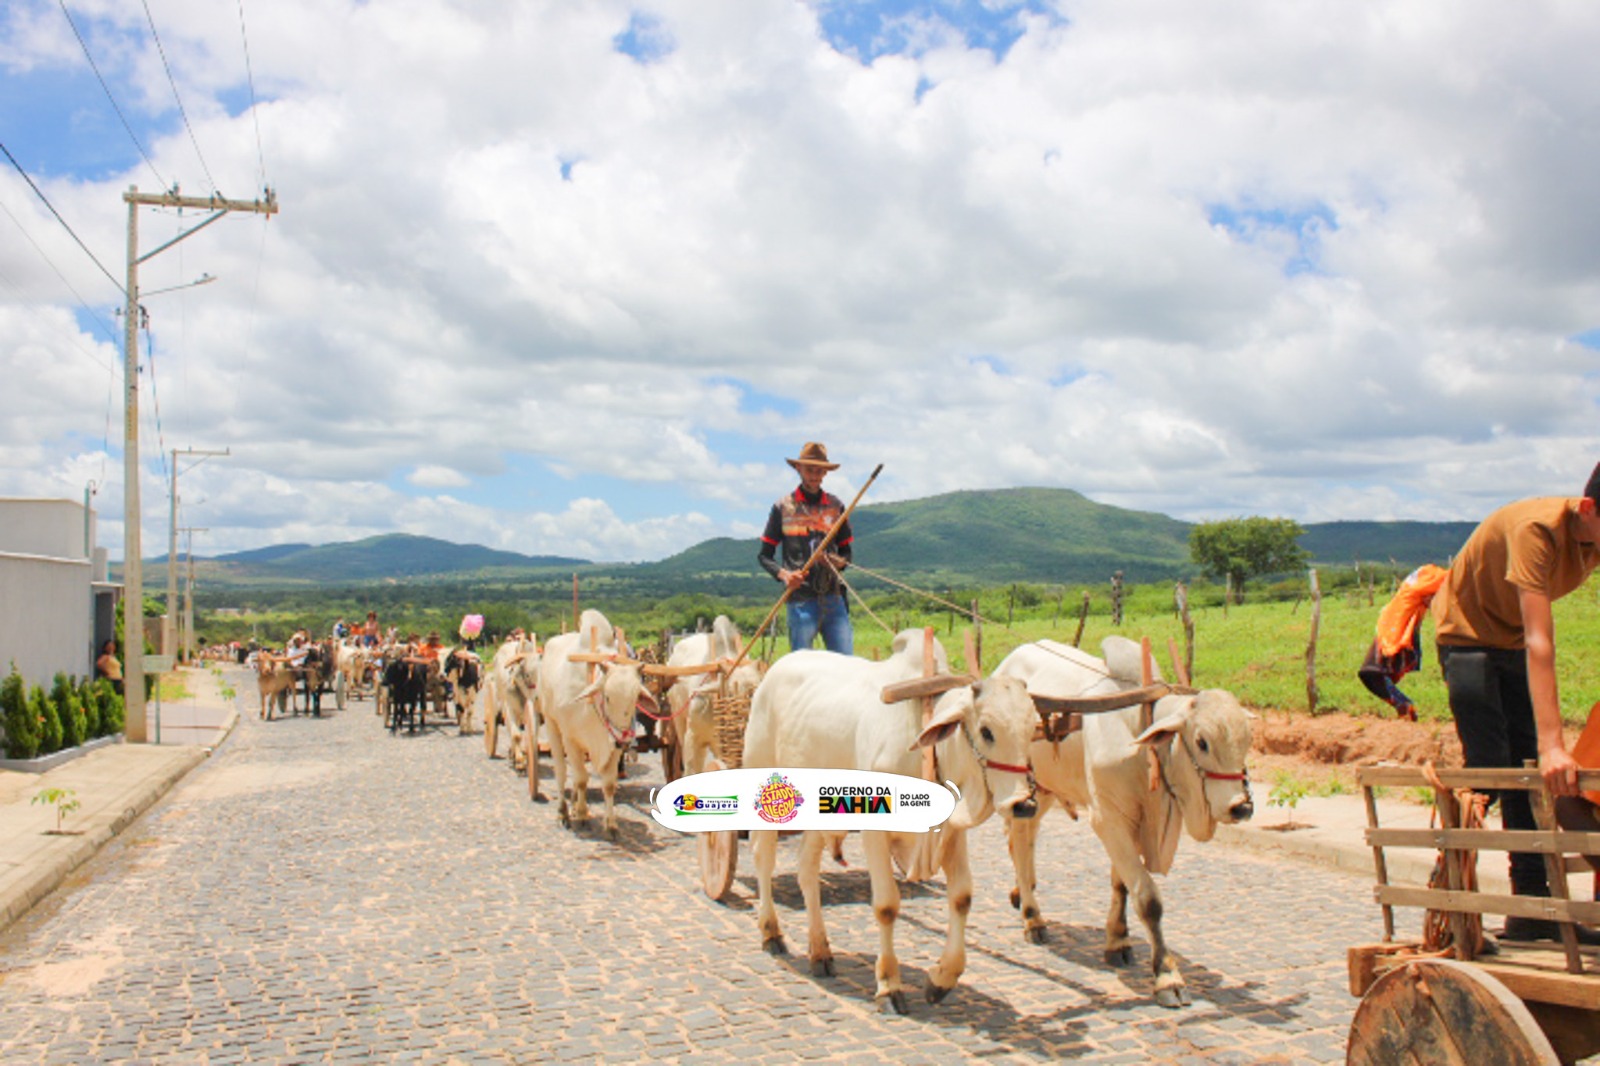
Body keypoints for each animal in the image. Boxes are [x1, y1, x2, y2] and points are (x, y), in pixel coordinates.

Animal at [536, 609, 660, 839]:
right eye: (608, 697)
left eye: (635, 699)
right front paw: (581, 814)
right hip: (551, 723)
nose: (624, 742)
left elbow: (608, 784)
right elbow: (581, 779)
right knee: (562, 772)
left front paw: (610, 825)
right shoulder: (571, 740)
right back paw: (564, 812)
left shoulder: (612, 746)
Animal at [742, 628, 1039, 1014]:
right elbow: (886, 906)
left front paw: (941, 978)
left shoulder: (952, 831)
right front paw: (889, 985)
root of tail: (777, 668)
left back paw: (820, 951)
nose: (1024, 804)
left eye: (1033, 729)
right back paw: (771, 933)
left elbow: (961, 898)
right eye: (987, 731)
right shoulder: (875, 832)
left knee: (807, 870)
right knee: (764, 859)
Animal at [993, 636, 1254, 1008]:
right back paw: (1032, 918)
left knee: (1023, 841)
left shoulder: (1132, 821)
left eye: (1248, 740)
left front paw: (1117, 940)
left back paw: (1022, 893)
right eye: (1202, 741)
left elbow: (1122, 885)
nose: (1240, 807)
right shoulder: (1108, 818)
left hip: (1043, 788)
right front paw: (1167, 975)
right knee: (1018, 838)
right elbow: (1148, 898)